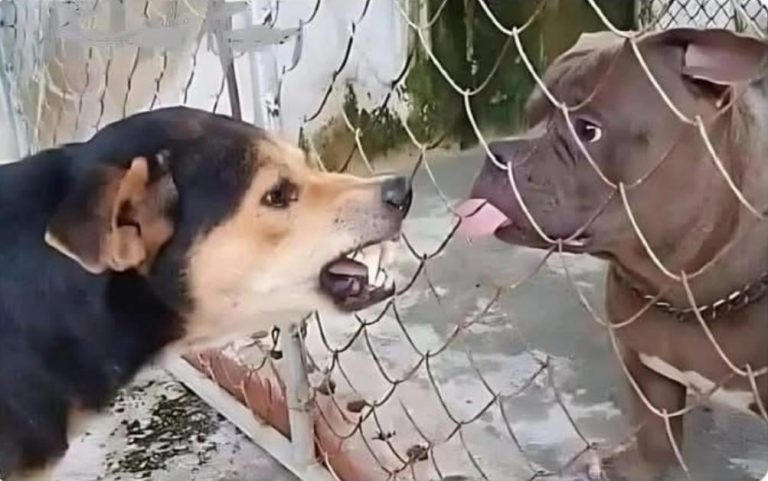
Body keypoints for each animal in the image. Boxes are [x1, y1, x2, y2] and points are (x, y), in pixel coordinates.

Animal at [459, 28, 767, 479]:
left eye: (588, 130)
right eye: (530, 116)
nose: (495, 154)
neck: (682, 289)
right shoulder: (643, 366)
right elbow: (656, 437)